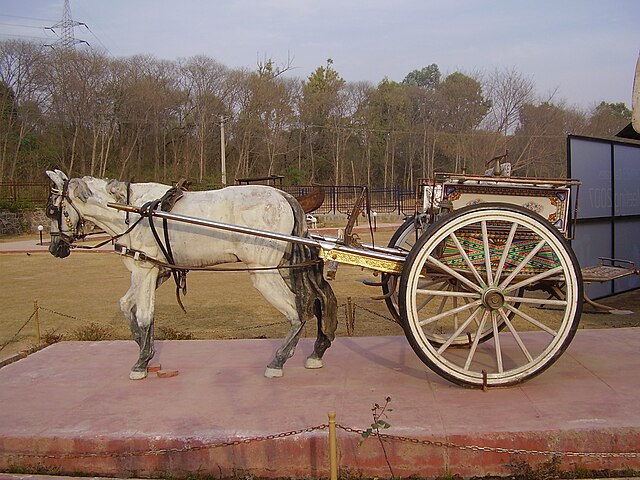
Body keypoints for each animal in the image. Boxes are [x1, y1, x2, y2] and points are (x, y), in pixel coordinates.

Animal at [45, 171, 338, 380]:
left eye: (53, 210)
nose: (55, 247)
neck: (132, 212)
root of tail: (285, 197)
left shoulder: (144, 269)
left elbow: (144, 314)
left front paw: (141, 361)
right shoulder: (155, 270)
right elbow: (129, 306)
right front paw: (144, 350)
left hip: (263, 272)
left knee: (297, 311)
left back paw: (278, 360)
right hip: (286, 267)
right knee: (319, 298)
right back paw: (316, 351)